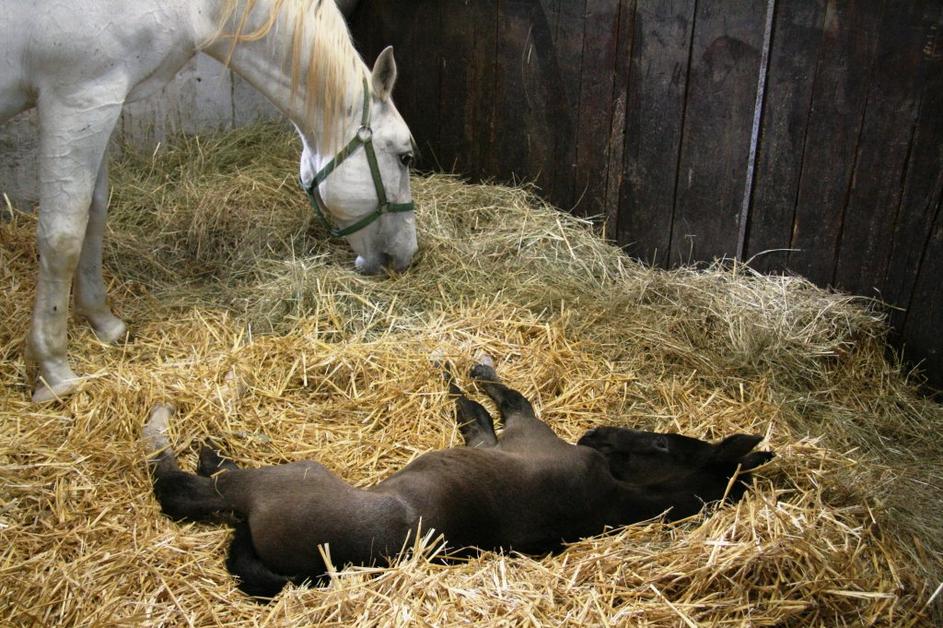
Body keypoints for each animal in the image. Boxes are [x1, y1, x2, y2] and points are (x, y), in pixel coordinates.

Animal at [0, 0, 420, 402]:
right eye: (405, 157)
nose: (407, 255)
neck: (194, 7)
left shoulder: (103, 105)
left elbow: (93, 214)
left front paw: (102, 321)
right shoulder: (78, 100)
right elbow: (62, 239)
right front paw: (54, 368)